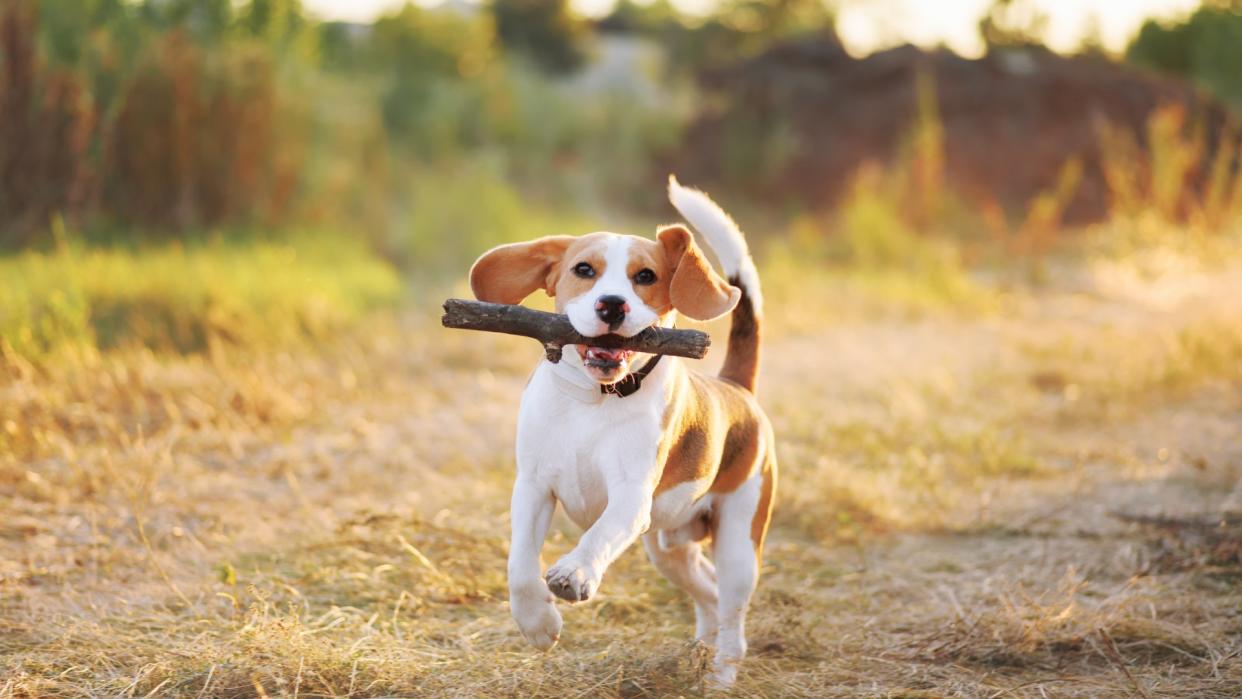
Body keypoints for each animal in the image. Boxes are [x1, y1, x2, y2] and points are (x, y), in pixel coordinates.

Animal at [466, 176, 775, 690]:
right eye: (583, 270)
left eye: (645, 276)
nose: (611, 305)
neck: (594, 401)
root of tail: (735, 387)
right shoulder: (532, 487)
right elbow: (519, 566)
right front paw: (537, 623)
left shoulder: (630, 499)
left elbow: (600, 534)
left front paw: (575, 572)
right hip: (669, 549)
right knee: (708, 592)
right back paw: (700, 651)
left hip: (738, 539)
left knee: (732, 609)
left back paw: (720, 674)